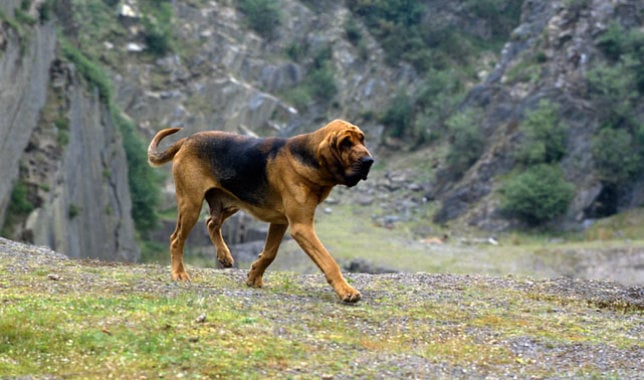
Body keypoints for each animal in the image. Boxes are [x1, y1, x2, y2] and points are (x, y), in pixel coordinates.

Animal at [147, 119, 374, 302]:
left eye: (362, 139)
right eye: (346, 143)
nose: (369, 161)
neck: (309, 158)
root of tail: (187, 140)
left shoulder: (281, 222)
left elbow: (269, 253)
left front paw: (254, 276)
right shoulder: (301, 227)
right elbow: (329, 262)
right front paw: (346, 291)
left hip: (231, 202)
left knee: (211, 222)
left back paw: (224, 255)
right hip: (191, 205)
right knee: (176, 239)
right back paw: (179, 273)